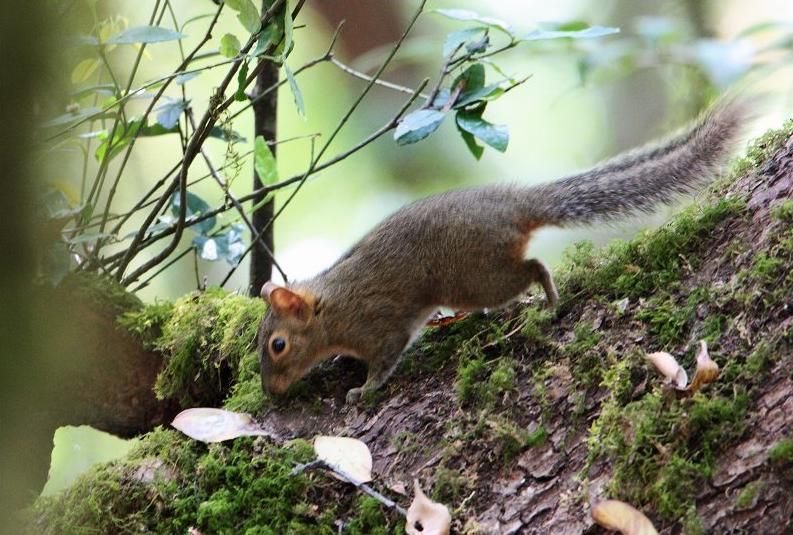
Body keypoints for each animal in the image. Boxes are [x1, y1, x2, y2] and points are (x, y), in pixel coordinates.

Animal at [258, 98, 748, 404]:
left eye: (278, 345)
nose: (270, 392)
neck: (332, 305)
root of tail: (515, 208)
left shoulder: (379, 326)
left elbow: (385, 360)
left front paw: (364, 389)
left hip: (477, 277)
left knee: (533, 268)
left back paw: (548, 300)